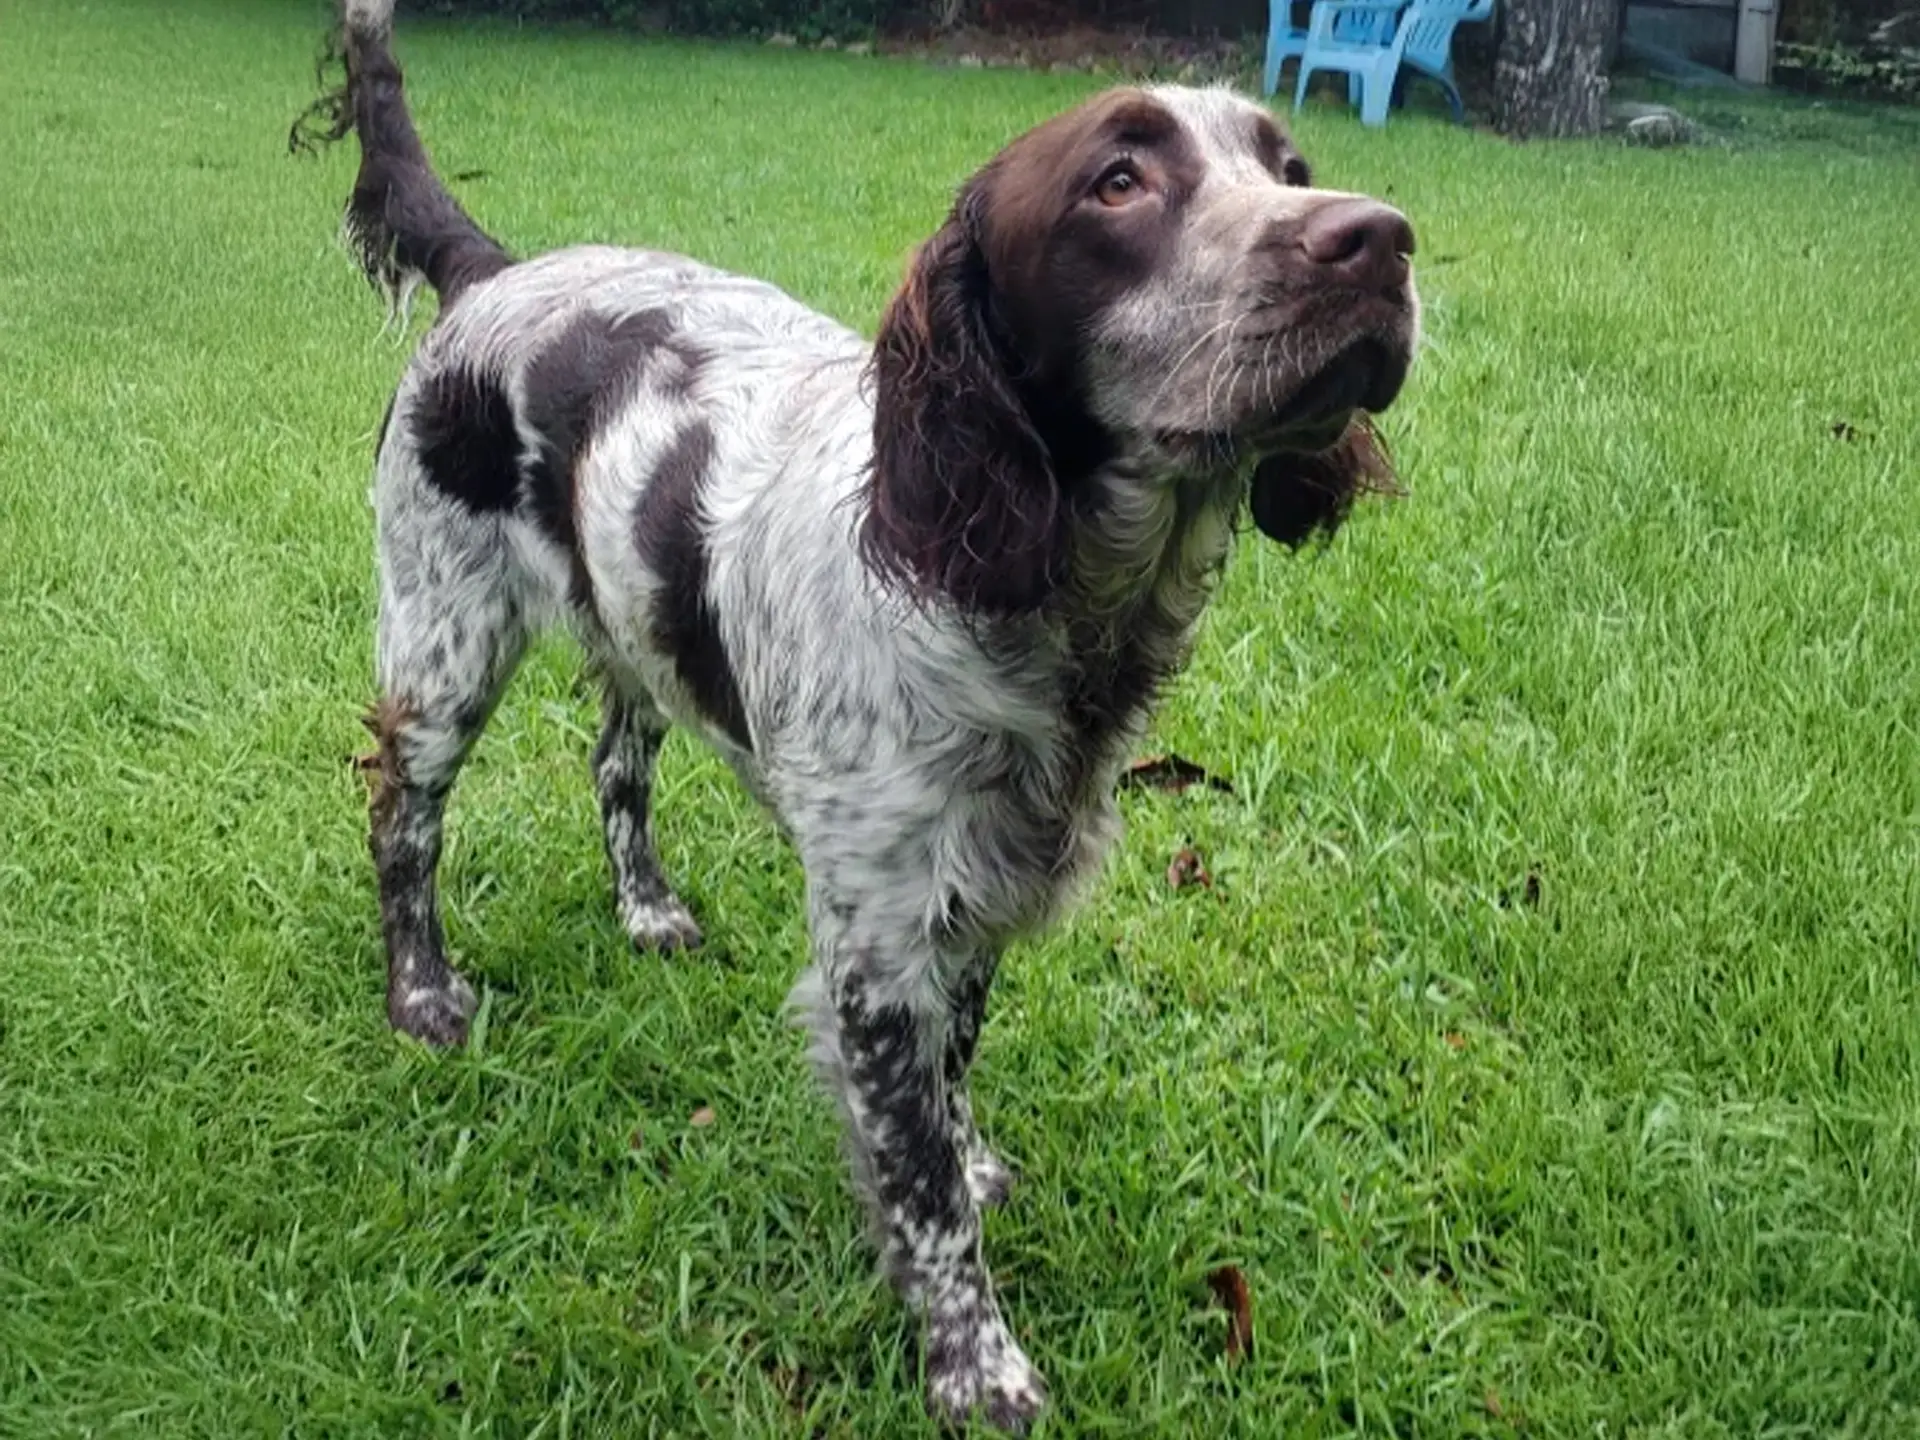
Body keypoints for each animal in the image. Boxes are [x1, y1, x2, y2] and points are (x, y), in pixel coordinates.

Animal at [291, 5, 1420, 1436]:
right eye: (1118, 182)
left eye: (1289, 165)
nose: (1381, 237)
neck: (1028, 604)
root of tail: (494, 273)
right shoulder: (878, 947)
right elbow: (923, 1189)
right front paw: (974, 1363)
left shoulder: (974, 889)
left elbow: (952, 1083)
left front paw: (972, 1160)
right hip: (446, 641)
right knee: (403, 815)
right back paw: (423, 992)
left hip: (640, 634)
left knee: (613, 763)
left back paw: (646, 910)